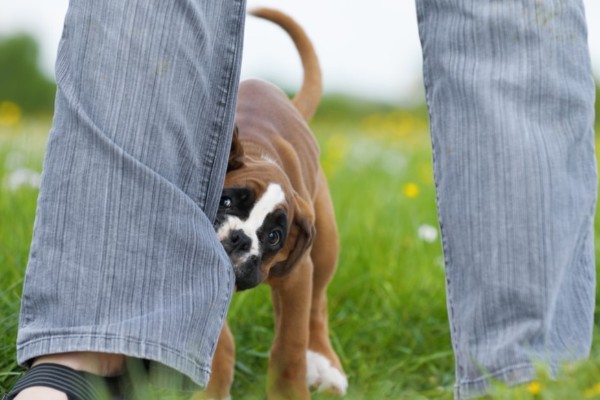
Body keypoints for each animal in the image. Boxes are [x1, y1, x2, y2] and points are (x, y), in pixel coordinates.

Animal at [198, 6, 346, 400]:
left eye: (274, 236)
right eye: (227, 200)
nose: (239, 239)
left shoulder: (297, 275)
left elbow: (290, 346)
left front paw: (290, 391)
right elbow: (219, 342)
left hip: (323, 245)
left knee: (317, 308)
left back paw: (324, 365)